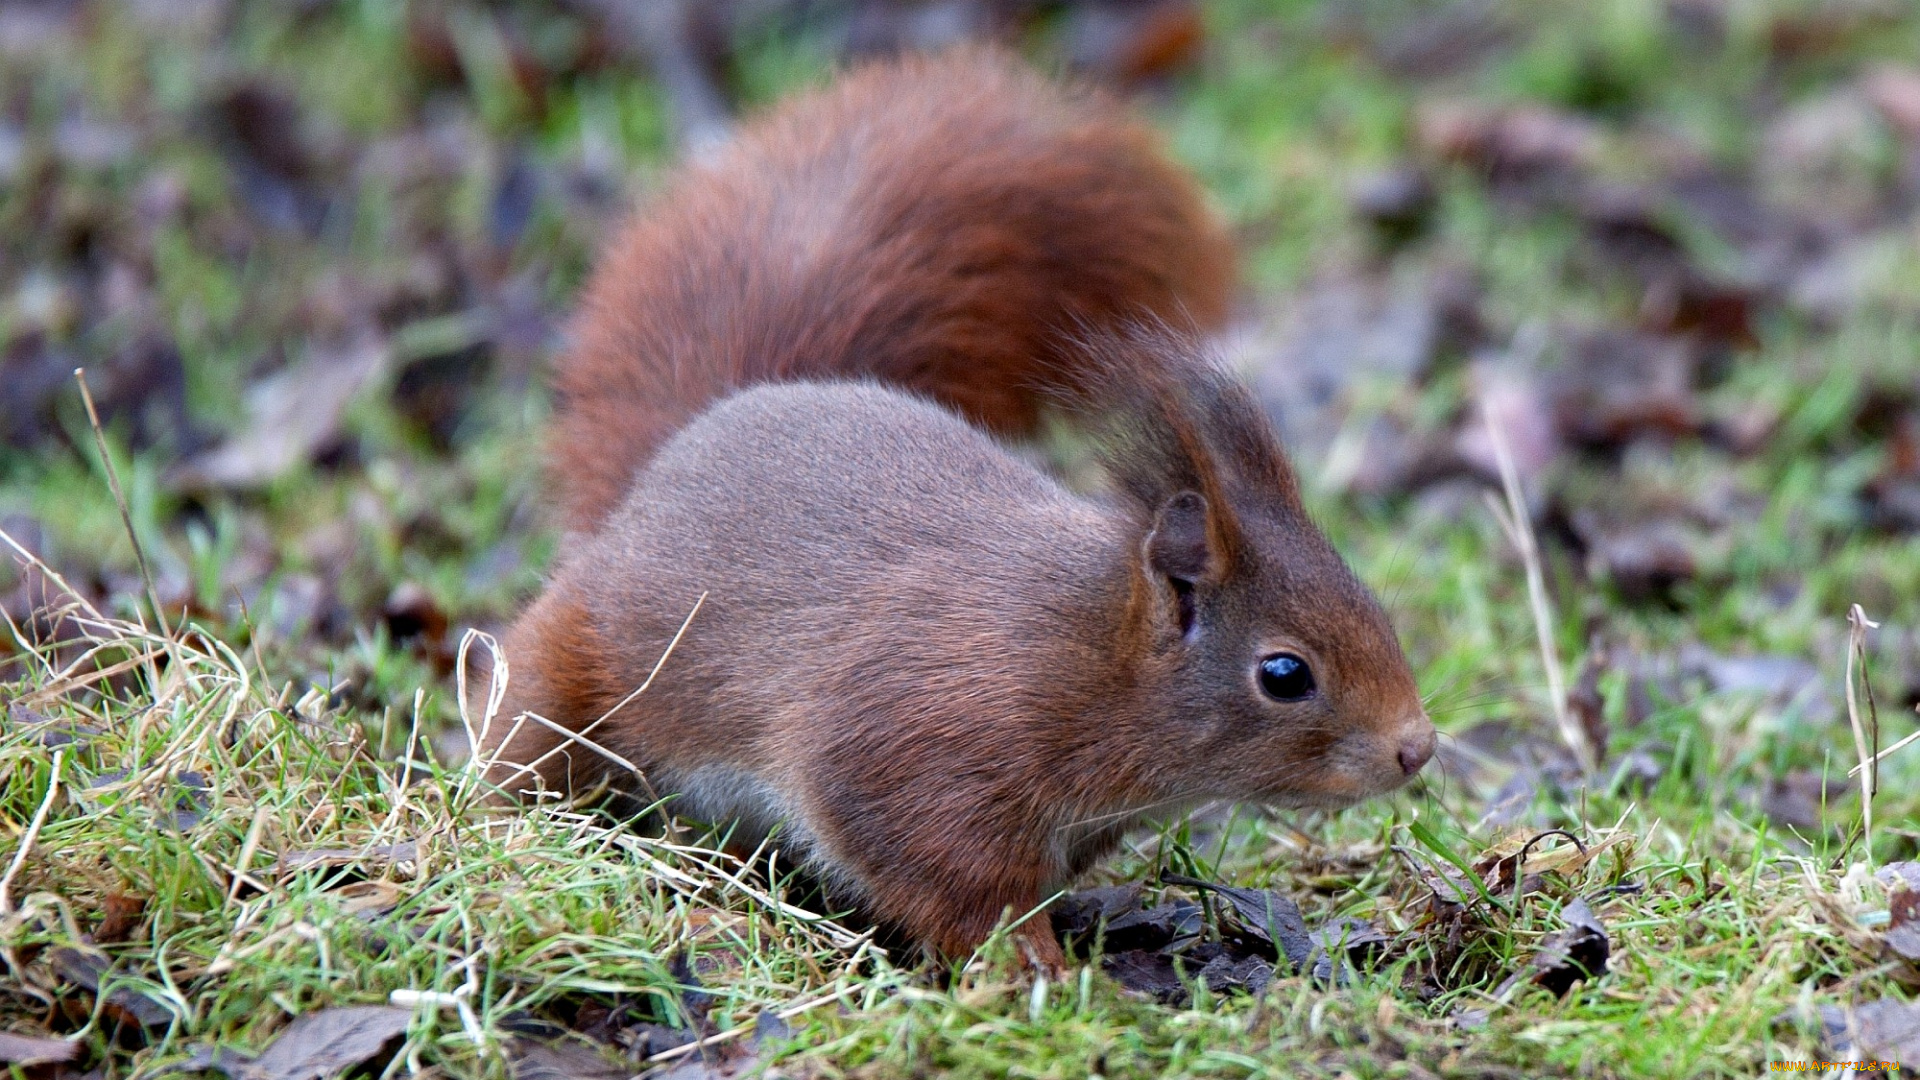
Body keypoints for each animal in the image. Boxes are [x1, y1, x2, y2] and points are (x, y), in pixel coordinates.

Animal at [472, 48, 1436, 976]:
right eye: (1285, 674)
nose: (1417, 748)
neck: (1087, 657)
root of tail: (672, 454)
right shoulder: (919, 745)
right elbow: (949, 882)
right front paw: (1030, 967)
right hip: (589, 663)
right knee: (532, 727)